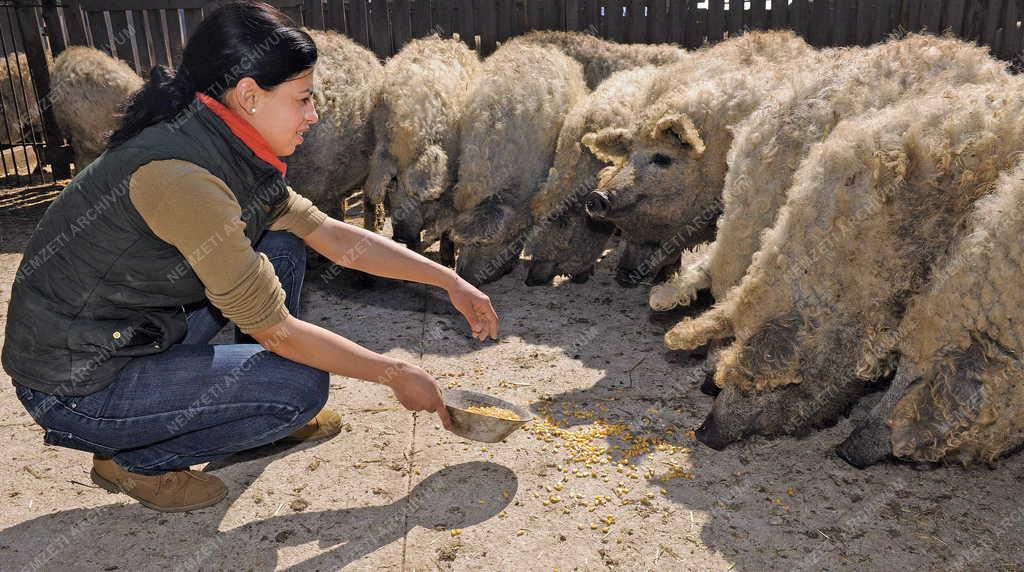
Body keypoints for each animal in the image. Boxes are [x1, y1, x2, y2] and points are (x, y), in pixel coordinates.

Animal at [364, 33, 479, 261]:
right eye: (393, 180)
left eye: (414, 190)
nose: (399, 236)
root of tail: (441, 39)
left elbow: (447, 225)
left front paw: (448, 261)